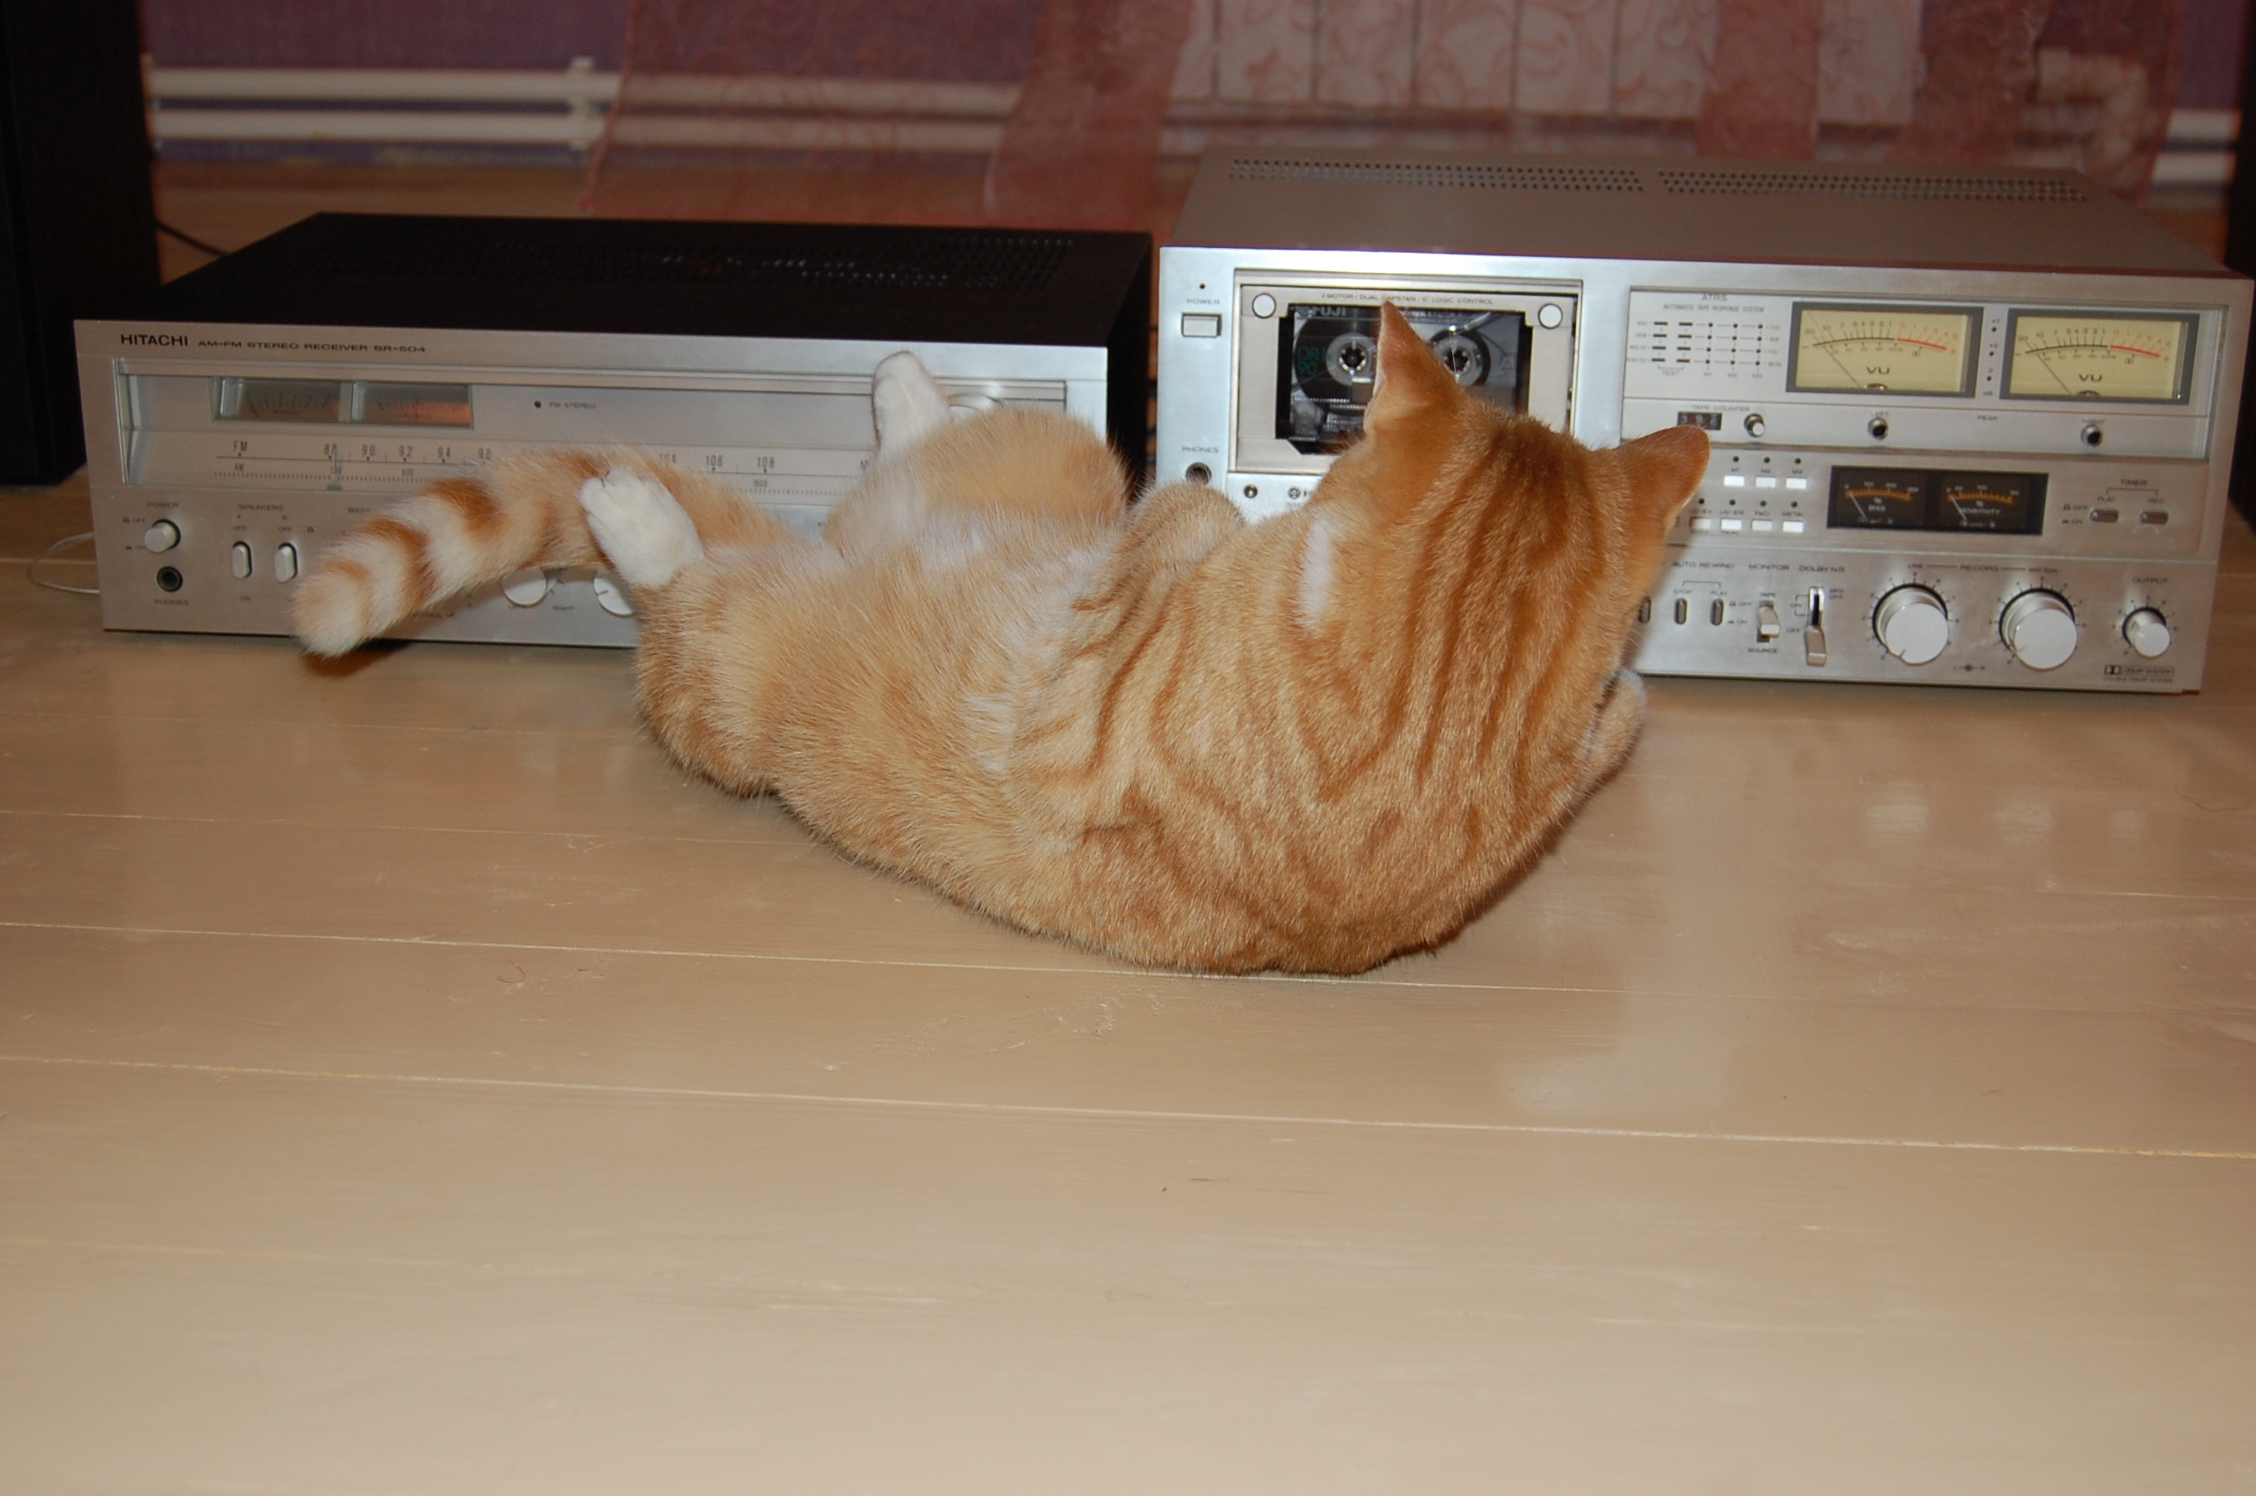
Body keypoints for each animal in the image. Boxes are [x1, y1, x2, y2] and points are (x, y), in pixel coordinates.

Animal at [295, 304, 1707, 974]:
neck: (1437, 705)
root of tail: (813, 547)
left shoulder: (1073, 716)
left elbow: (1182, 519)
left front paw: (1206, 516)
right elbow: (1623, 709)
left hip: (732, 668)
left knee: (689, 586)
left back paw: (654, 503)